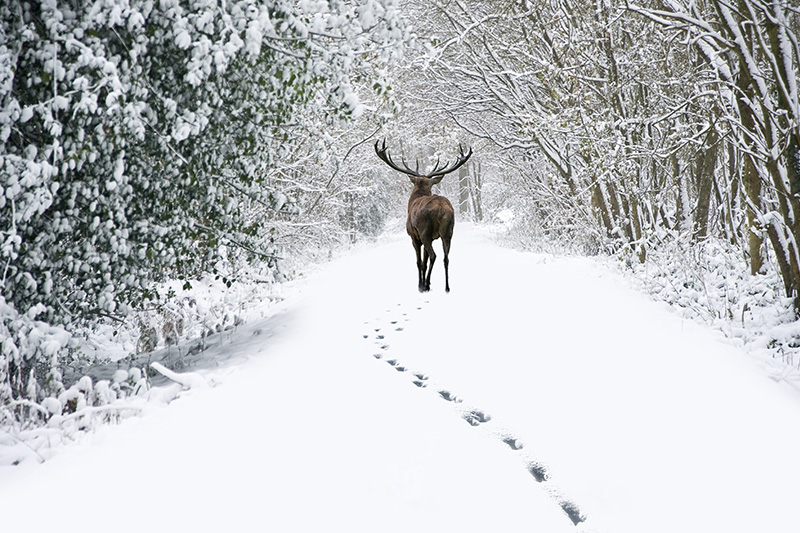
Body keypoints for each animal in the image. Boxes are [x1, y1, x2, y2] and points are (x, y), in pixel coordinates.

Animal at [374, 139, 473, 293]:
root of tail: (441, 208)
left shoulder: (414, 236)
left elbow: (419, 261)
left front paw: (420, 285)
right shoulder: (432, 238)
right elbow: (424, 262)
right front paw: (428, 283)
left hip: (424, 231)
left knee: (434, 255)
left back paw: (425, 284)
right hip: (448, 231)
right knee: (446, 258)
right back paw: (447, 287)